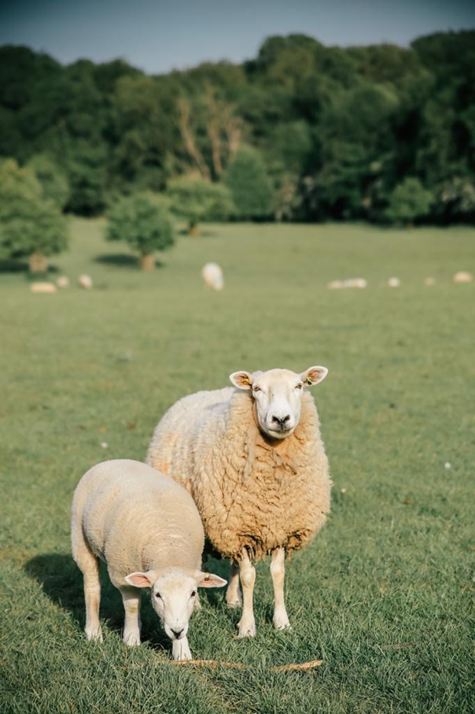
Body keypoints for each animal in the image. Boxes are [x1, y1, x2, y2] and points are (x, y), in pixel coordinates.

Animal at [71, 459, 226, 660]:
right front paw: (131, 640)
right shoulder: (122, 575)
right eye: (158, 595)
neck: (168, 548)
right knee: (92, 587)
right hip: (80, 539)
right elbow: (131, 605)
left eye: (193, 593)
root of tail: (113, 461)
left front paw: (182, 652)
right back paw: (94, 633)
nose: (176, 630)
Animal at [146, 366, 331, 638]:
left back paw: (233, 599)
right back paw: (198, 604)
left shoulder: (279, 526)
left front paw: (282, 622)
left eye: (299, 386)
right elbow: (248, 576)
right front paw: (246, 627)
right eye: (257, 389)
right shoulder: (239, 529)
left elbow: (277, 574)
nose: (281, 419)